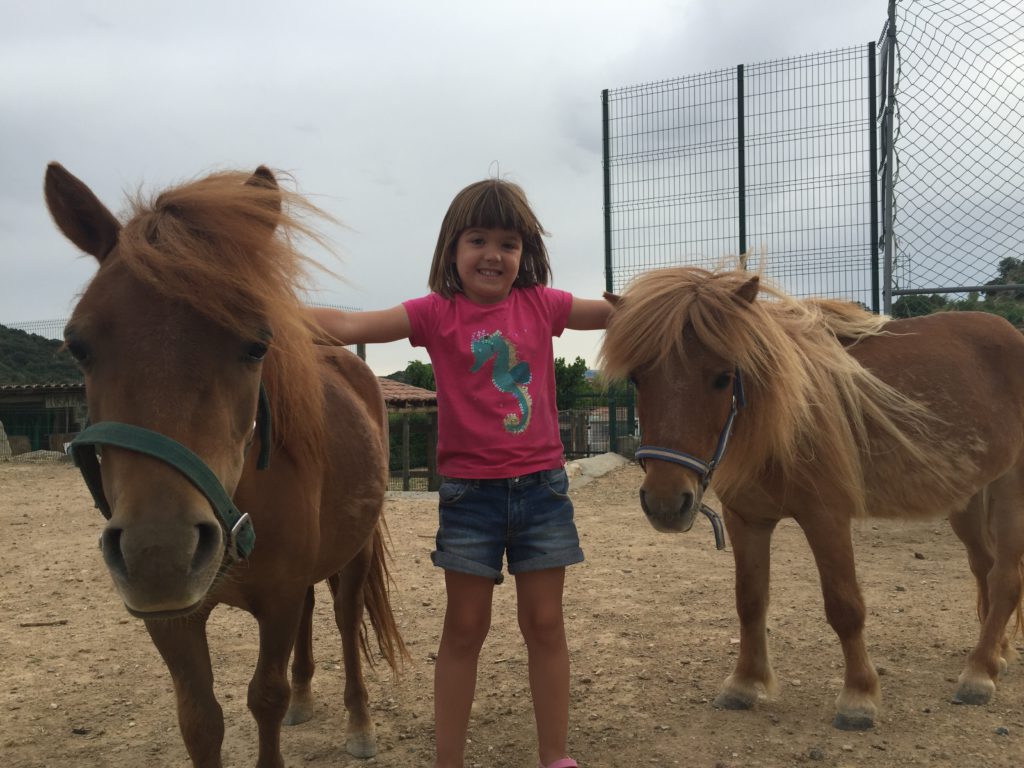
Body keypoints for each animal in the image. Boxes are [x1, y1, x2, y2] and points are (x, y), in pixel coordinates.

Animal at [44, 163, 405, 768]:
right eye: (78, 346)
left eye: (257, 346)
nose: (158, 554)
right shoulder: (175, 620)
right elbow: (200, 719)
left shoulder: (277, 600)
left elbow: (264, 697)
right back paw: (305, 699)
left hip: (352, 557)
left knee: (345, 617)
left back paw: (360, 725)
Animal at [598, 268, 1024, 729]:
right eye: (638, 378)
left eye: (723, 376)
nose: (664, 501)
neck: (777, 423)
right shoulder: (745, 519)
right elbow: (750, 601)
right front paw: (744, 683)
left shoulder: (826, 518)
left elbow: (844, 606)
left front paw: (858, 696)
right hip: (967, 499)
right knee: (984, 568)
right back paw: (996, 653)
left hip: (1011, 492)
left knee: (1005, 578)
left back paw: (979, 672)